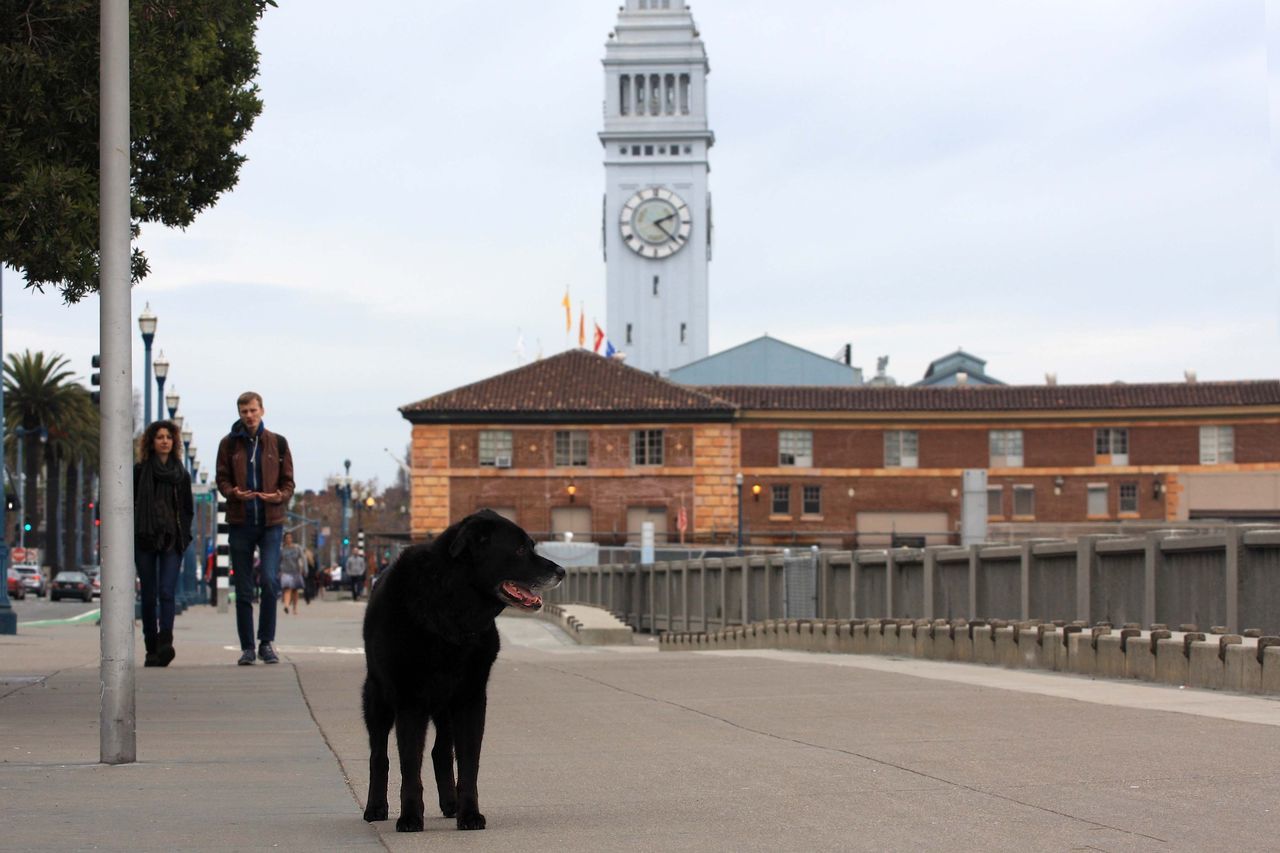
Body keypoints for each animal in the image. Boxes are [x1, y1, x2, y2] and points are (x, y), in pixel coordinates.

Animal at [360, 507, 560, 824]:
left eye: (531, 546)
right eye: (519, 549)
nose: (561, 571)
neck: (450, 606)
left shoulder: (470, 699)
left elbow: (468, 764)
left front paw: (470, 814)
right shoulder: (410, 702)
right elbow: (409, 765)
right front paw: (411, 818)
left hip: (445, 709)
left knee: (440, 753)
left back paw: (451, 804)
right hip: (377, 697)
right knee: (379, 756)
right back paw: (376, 808)